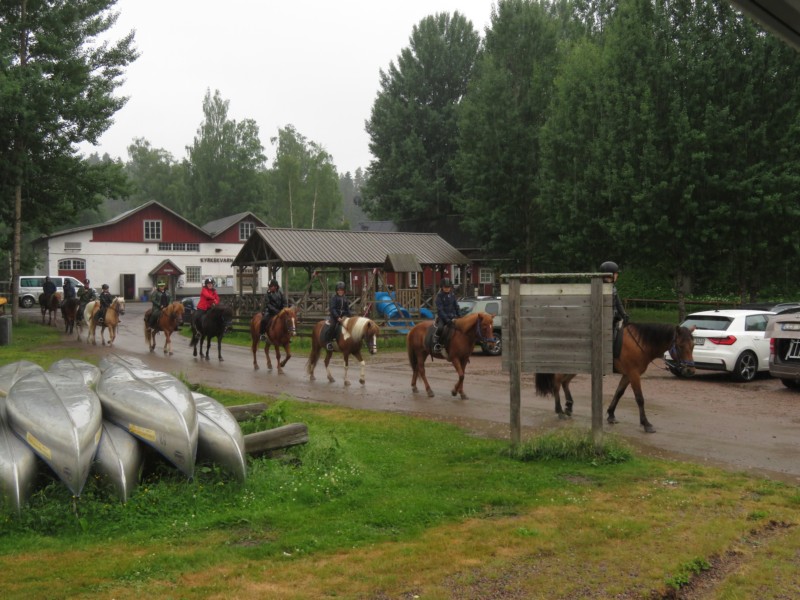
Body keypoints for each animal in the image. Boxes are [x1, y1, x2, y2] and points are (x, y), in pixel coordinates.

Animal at [536, 322, 696, 434]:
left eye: (693, 345)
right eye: (680, 346)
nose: (690, 370)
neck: (640, 343)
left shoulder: (627, 375)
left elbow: (619, 393)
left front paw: (611, 414)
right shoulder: (633, 374)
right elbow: (639, 399)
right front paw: (646, 424)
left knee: (565, 382)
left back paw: (568, 406)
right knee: (557, 382)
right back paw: (559, 410)